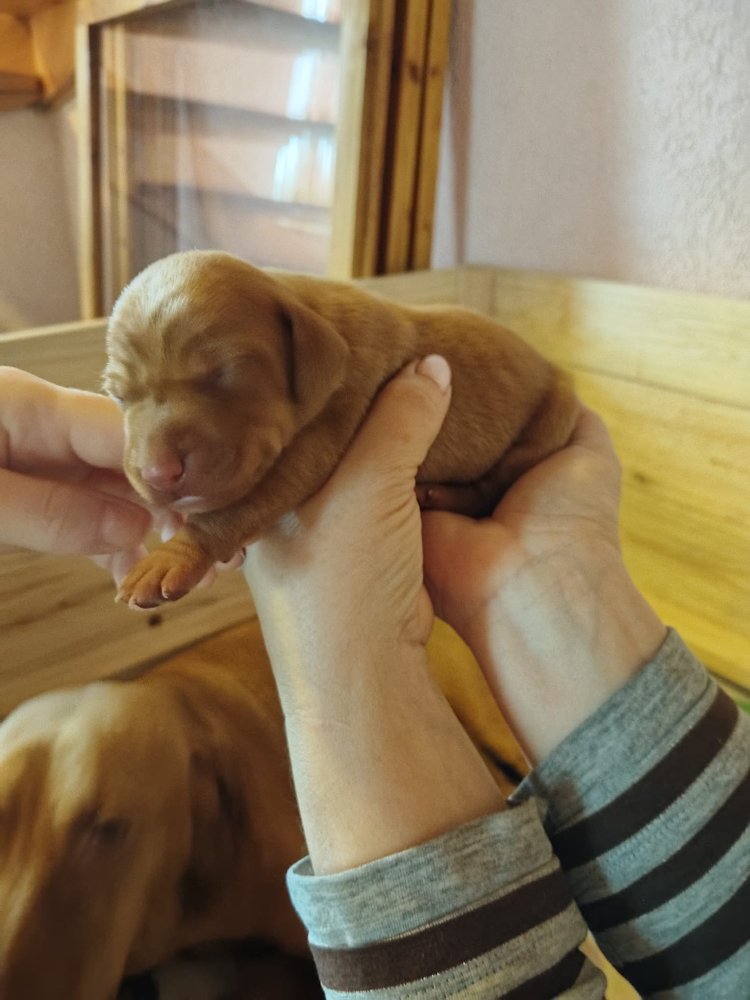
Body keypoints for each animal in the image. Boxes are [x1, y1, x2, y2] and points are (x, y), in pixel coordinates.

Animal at [104, 251, 577, 608]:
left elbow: (243, 503)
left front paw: (172, 556)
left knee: (492, 486)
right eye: (118, 394)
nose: (158, 474)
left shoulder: (329, 426)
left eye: (226, 372)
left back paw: (443, 495)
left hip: (551, 420)